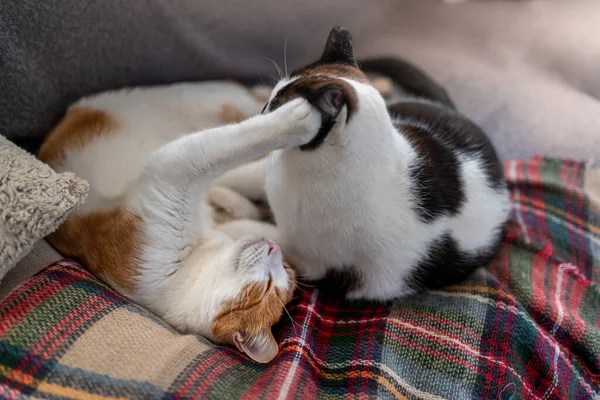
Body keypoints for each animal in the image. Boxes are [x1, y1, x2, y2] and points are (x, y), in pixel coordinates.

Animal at [216, 26, 510, 300]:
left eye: (278, 107)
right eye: (273, 98)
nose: (262, 111)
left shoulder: (309, 258)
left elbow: (262, 234)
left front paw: (228, 225)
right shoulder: (270, 169)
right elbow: (245, 175)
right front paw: (218, 185)